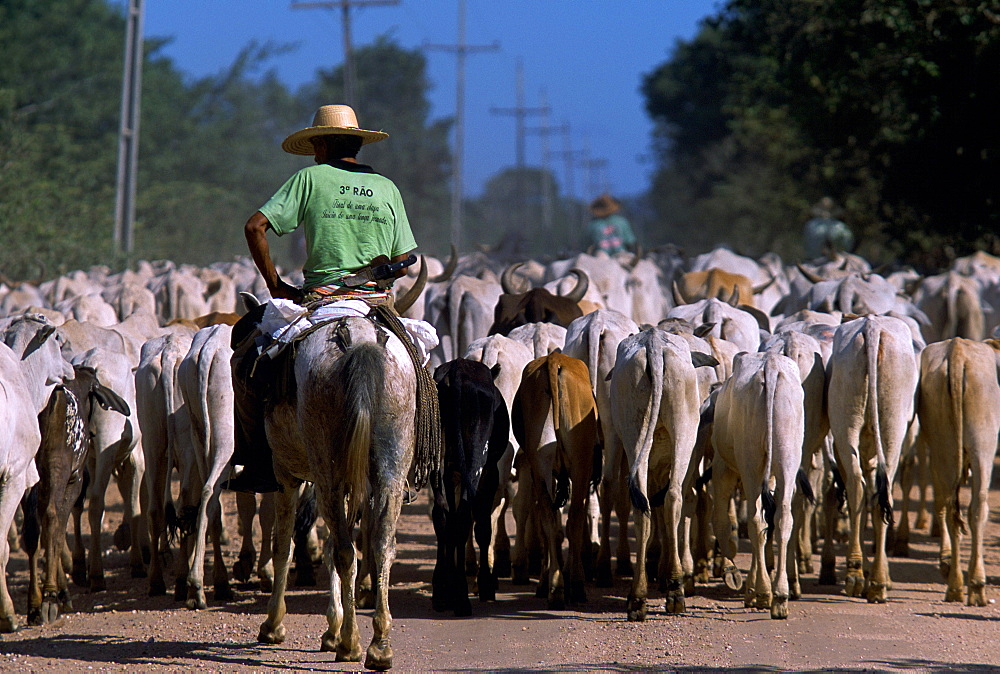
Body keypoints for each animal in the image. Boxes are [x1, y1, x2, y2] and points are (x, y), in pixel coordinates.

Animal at [428, 360, 508, 612]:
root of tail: (458, 370)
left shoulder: (451, 473)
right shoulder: (491, 471)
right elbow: (482, 527)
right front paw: (485, 584)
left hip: (437, 460)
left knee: (442, 515)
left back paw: (442, 592)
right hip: (476, 461)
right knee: (464, 516)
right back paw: (461, 599)